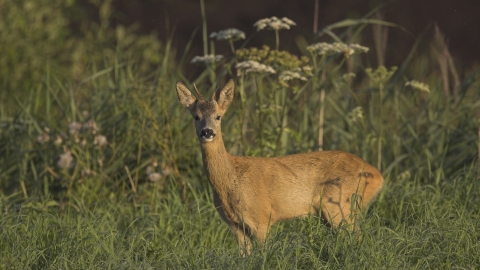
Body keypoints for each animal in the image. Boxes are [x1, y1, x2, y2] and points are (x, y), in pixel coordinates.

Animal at [175, 79, 382, 254]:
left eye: (218, 116)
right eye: (196, 116)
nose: (207, 132)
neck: (230, 180)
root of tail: (377, 176)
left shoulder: (262, 218)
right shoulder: (235, 225)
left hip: (340, 205)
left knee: (357, 238)